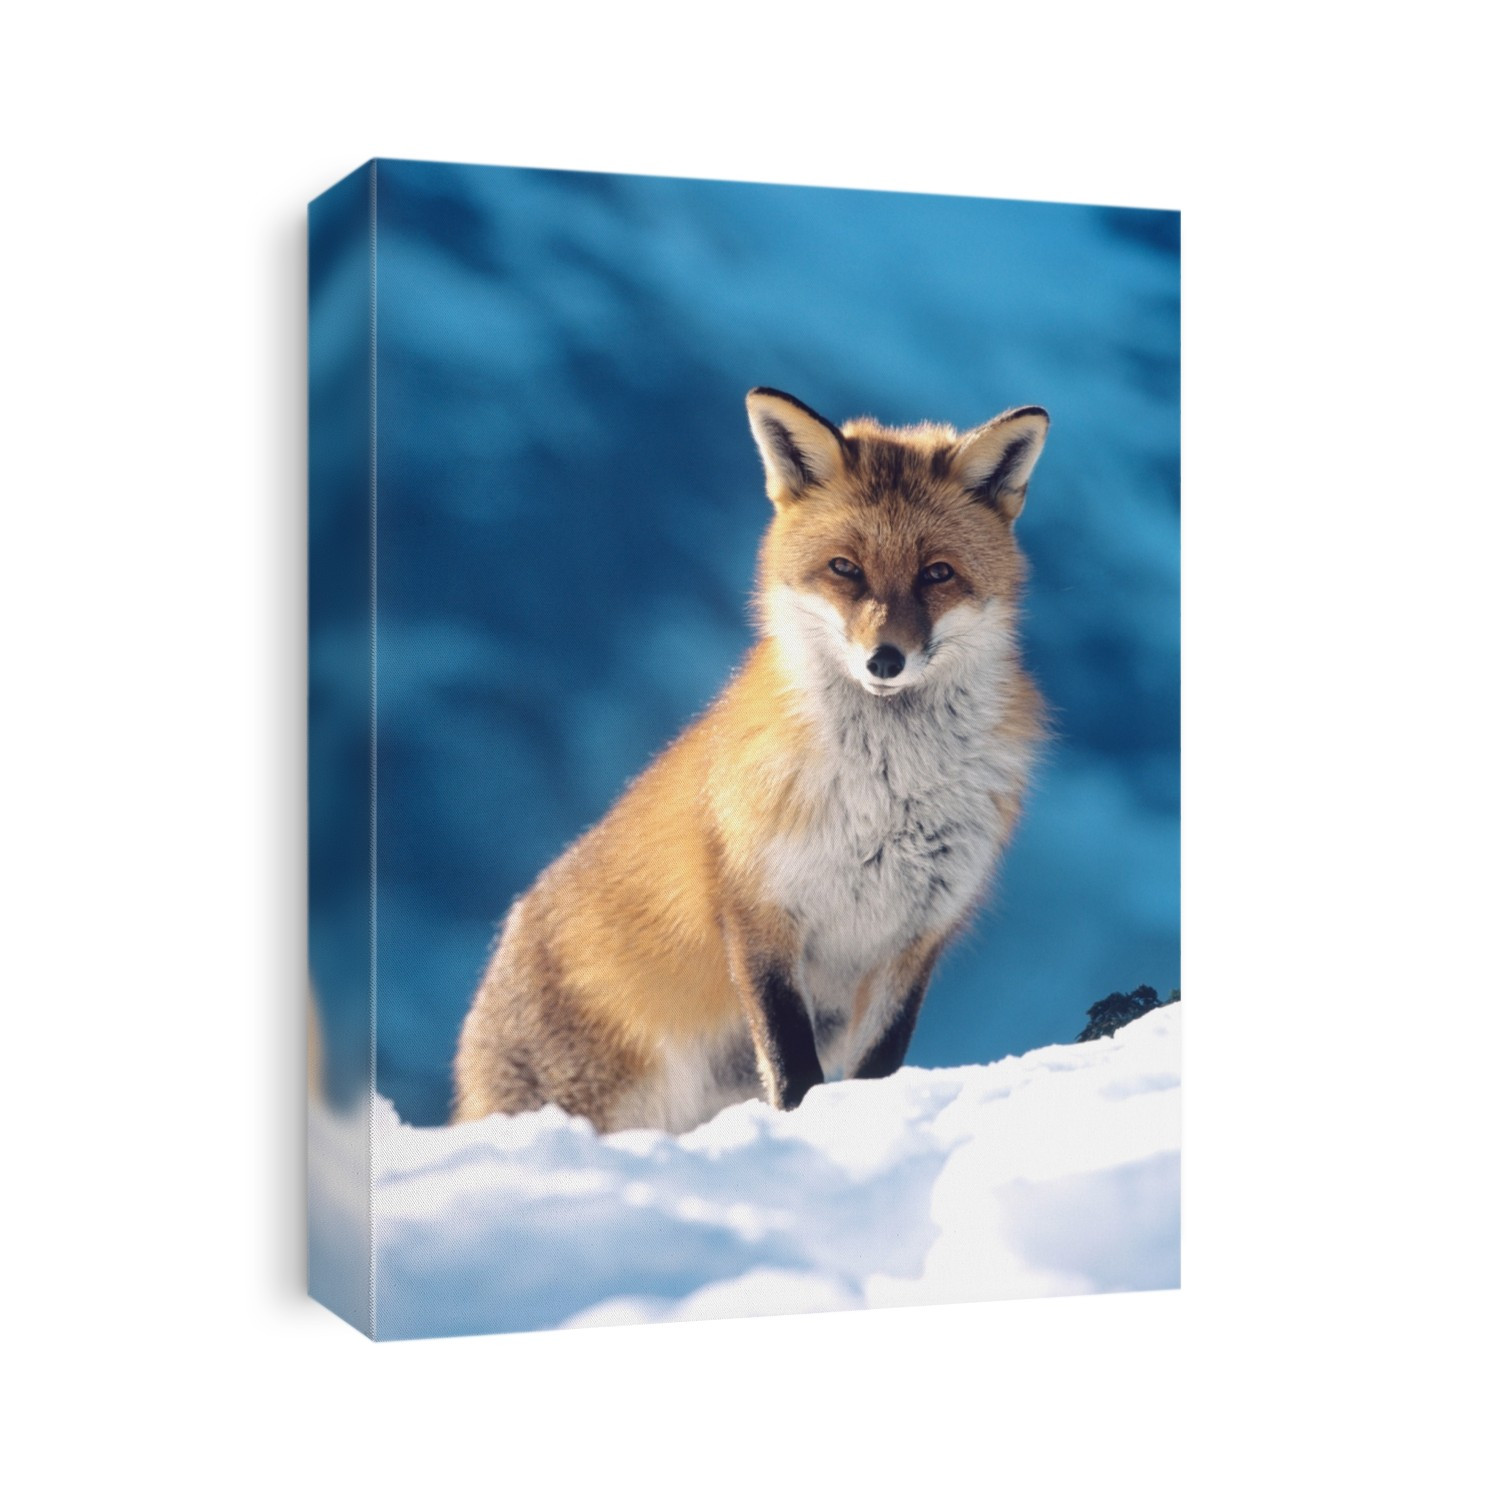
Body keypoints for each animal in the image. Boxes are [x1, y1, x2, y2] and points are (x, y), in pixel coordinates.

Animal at [453, 388, 1049, 1135]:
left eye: (937, 573)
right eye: (845, 568)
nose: (885, 660)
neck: (887, 799)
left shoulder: (917, 939)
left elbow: (878, 1065)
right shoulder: (760, 916)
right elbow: (792, 1065)